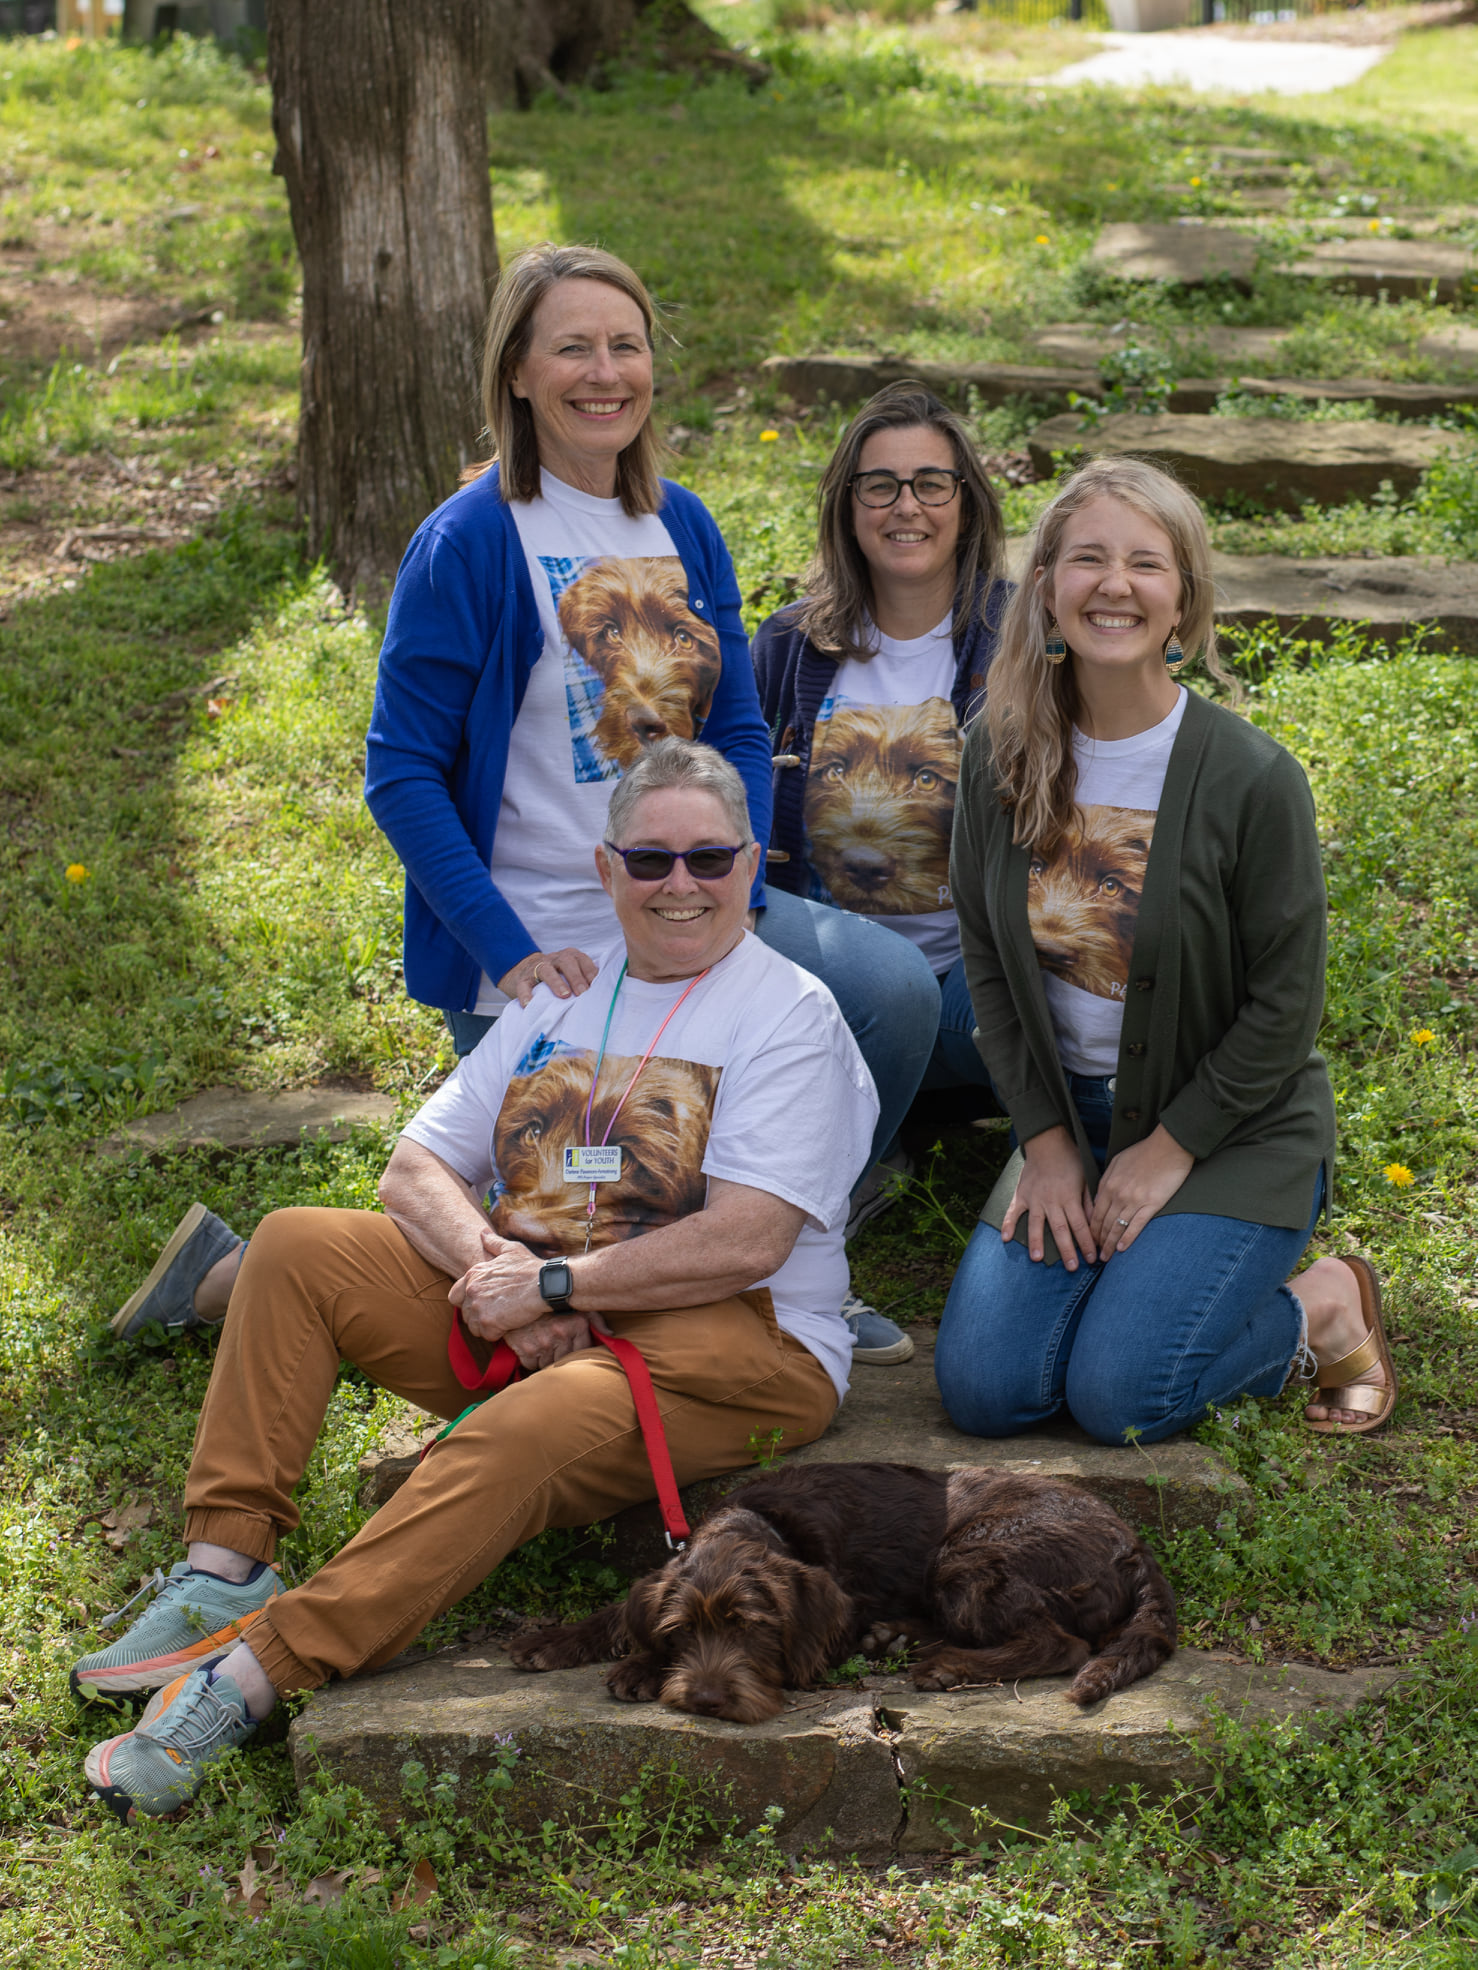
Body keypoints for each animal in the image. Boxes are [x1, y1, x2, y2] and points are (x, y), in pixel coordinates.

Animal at [508, 1465, 1182, 1725]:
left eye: (750, 1627)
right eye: (686, 1631)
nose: (705, 1700)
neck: (757, 1524)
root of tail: (1132, 1542)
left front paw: (641, 1668)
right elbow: (622, 1610)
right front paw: (562, 1640)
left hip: (967, 1557)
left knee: (1061, 1644)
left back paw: (947, 1664)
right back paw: (897, 1637)